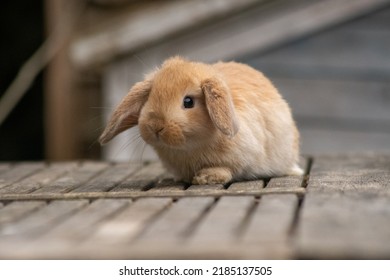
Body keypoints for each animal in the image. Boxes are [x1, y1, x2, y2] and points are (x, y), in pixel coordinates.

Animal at [99, 55, 304, 185]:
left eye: (188, 102)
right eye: (150, 97)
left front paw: (205, 178)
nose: (156, 127)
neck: (188, 149)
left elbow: (228, 169)